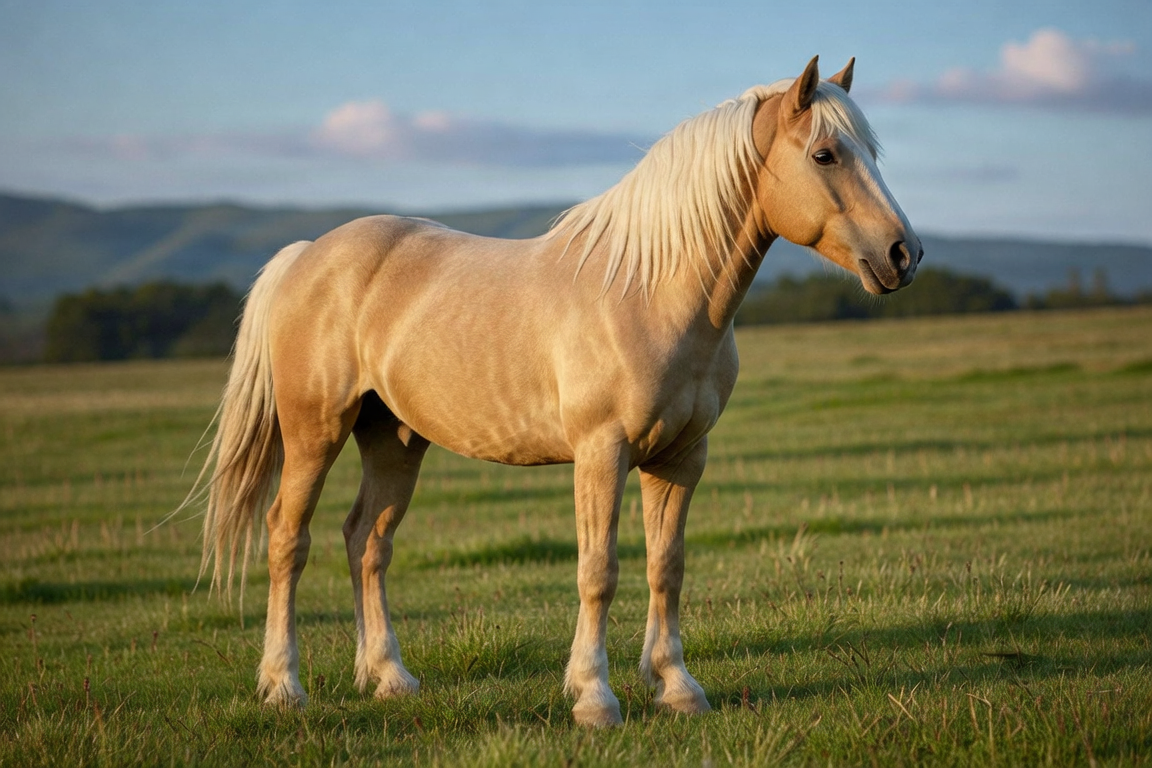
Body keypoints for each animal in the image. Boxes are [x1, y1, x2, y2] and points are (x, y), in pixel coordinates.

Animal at [187, 56, 921, 727]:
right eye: (824, 154)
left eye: (872, 152)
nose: (903, 254)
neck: (649, 293)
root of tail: (308, 254)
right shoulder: (602, 453)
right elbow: (598, 571)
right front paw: (594, 697)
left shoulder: (681, 459)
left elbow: (667, 567)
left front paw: (676, 687)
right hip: (315, 430)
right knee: (288, 539)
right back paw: (283, 686)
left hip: (393, 439)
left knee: (367, 540)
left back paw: (389, 676)